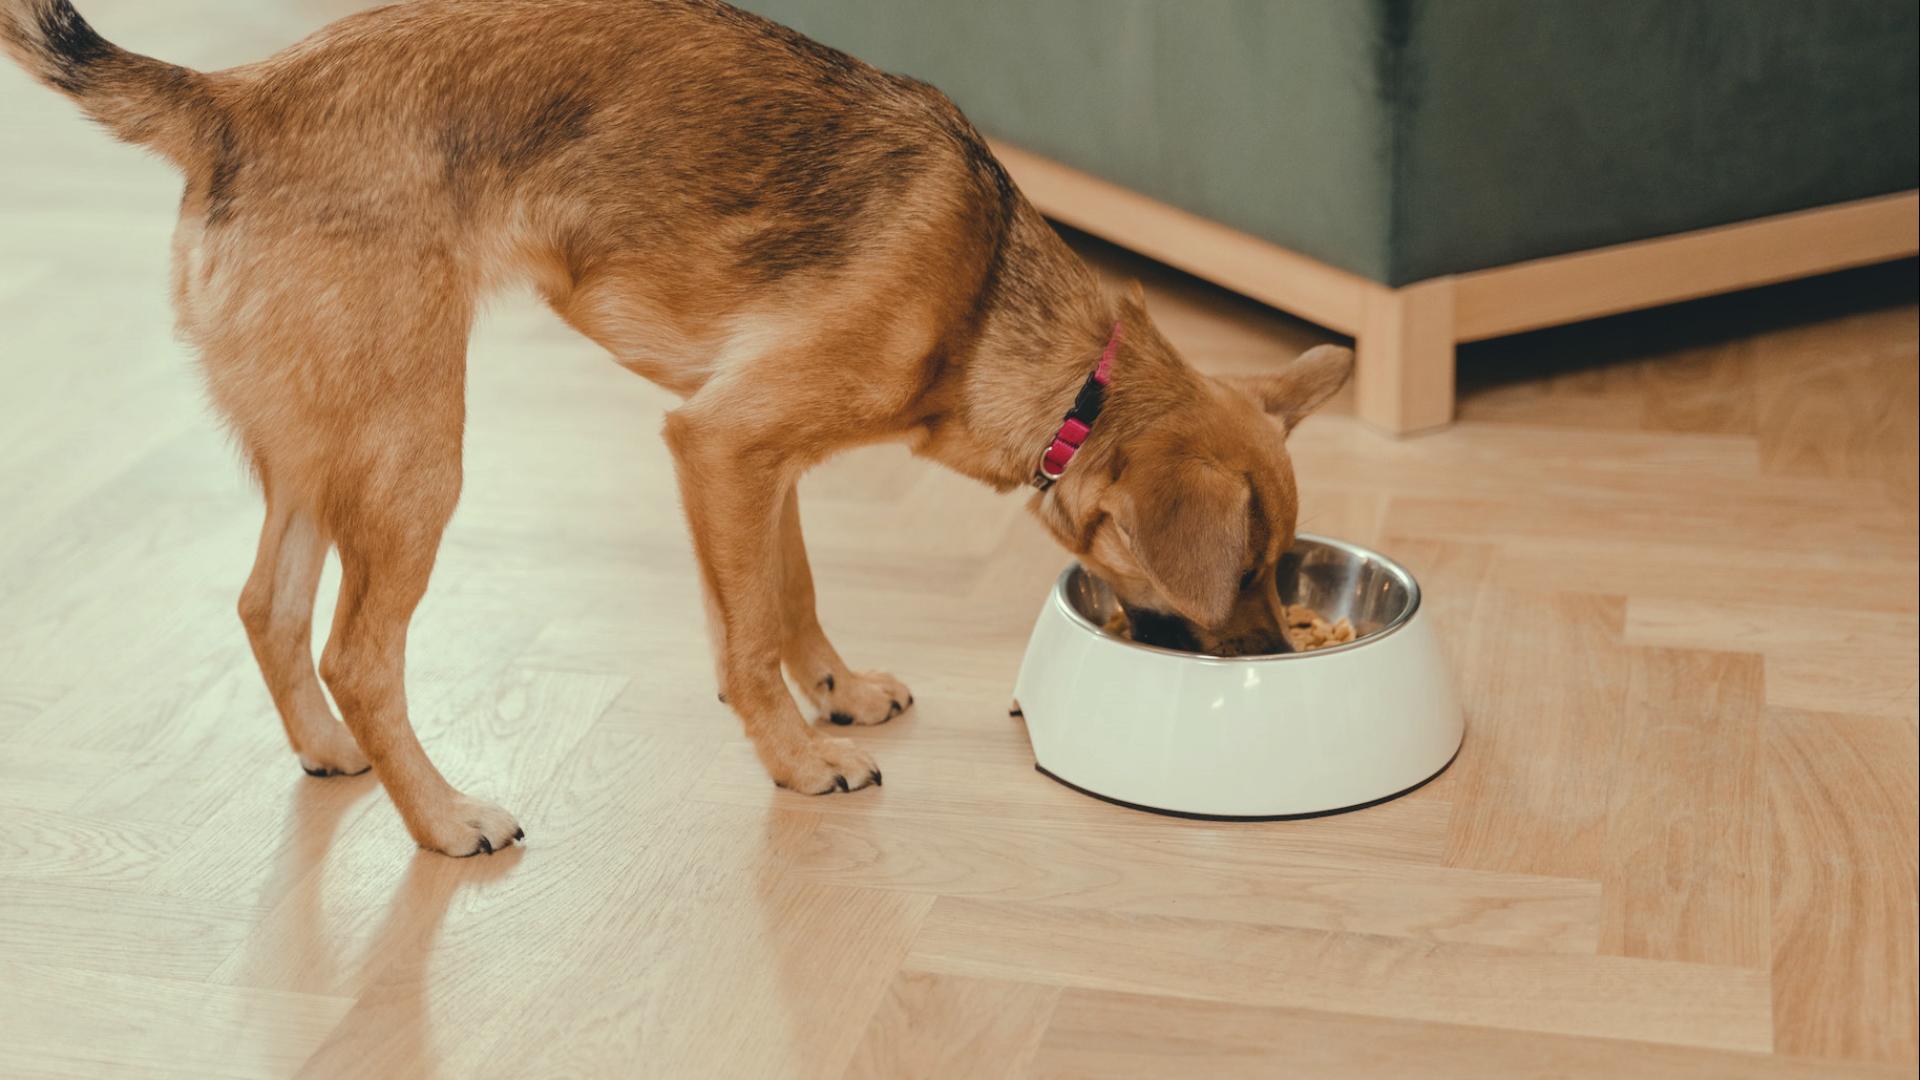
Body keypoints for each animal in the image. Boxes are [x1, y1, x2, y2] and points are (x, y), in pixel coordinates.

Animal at [3, 4, 1351, 853]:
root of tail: (232, 99)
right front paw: (799, 762)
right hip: (415, 454)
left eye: (1281, 572)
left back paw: (334, 753)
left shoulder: (764, 462)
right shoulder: (721, 444)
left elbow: (789, 596)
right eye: (1245, 571)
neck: (1001, 312)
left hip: (319, 447)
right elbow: (746, 638)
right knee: (358, 652)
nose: (1272, 660)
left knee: (267, 609)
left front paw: (837, 693)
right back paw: (443, 821)